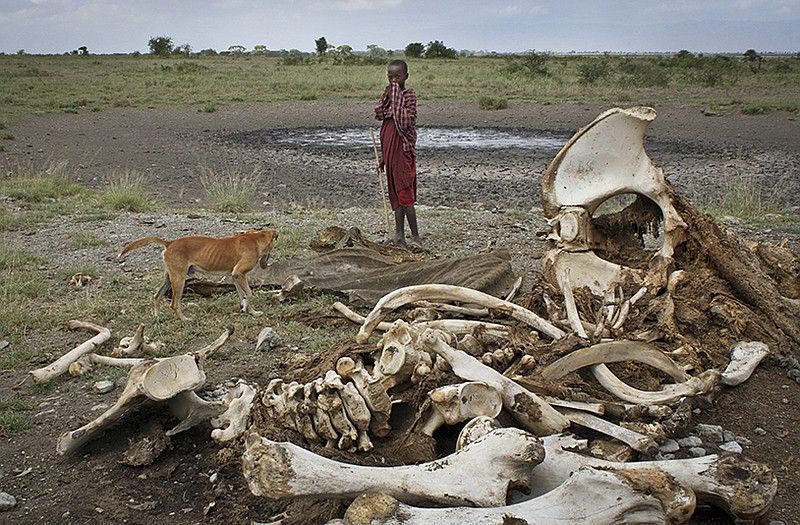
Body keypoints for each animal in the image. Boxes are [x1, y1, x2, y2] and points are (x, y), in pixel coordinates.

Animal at [117, 229, 282, 320]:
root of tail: (169, 243)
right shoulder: (239, 274)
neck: (255, 239)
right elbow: (249, 293)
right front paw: (254, 312)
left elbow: (243, 296)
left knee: (157, 296)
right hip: (179, 280)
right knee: (174, 304)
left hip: (169, 278)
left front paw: (245, 309)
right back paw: (185, 319)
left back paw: (157, 318)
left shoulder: (236, 277)